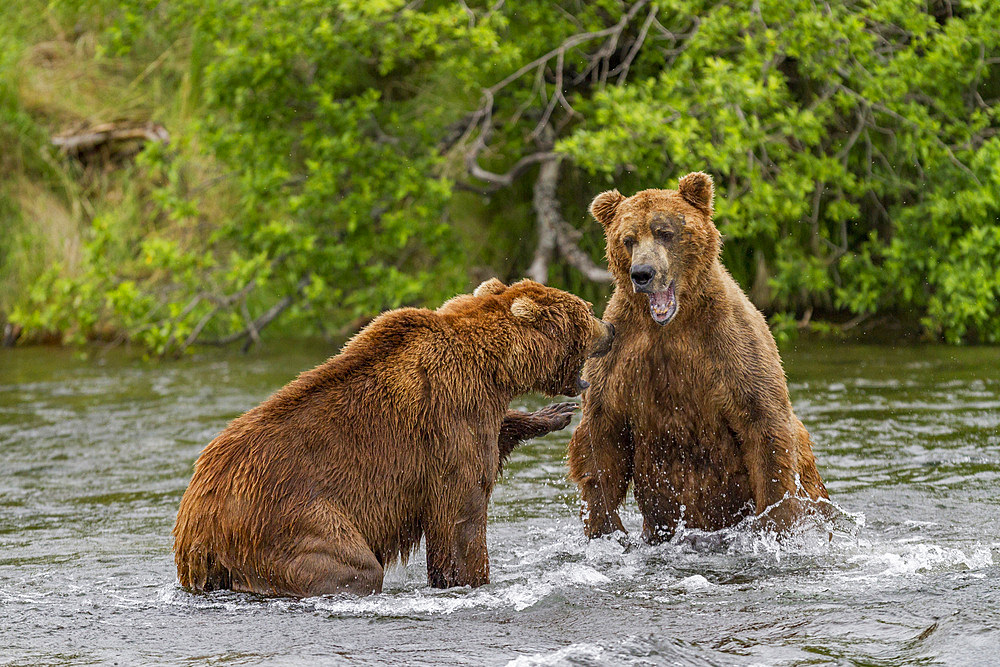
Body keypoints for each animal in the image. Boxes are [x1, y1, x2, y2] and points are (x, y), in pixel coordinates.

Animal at [173, 280, 612, 596]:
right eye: (587, 310)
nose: (609, 328)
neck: (493, 367)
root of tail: (193, 521)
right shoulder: (448, 418)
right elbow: (462, 513)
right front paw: (474, 580)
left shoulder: (472, 410)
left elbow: (496, 436)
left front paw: (551, 415)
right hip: (286, 517)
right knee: (351, 569)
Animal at [572, 172, 828, 544]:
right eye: (628, 239)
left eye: (664, 231)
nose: (643, 274)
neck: (670, 324)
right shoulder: (619, 354)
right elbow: (601, 439)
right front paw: (605, 528)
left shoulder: (729, 347)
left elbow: (765, 428)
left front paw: (773, 525)